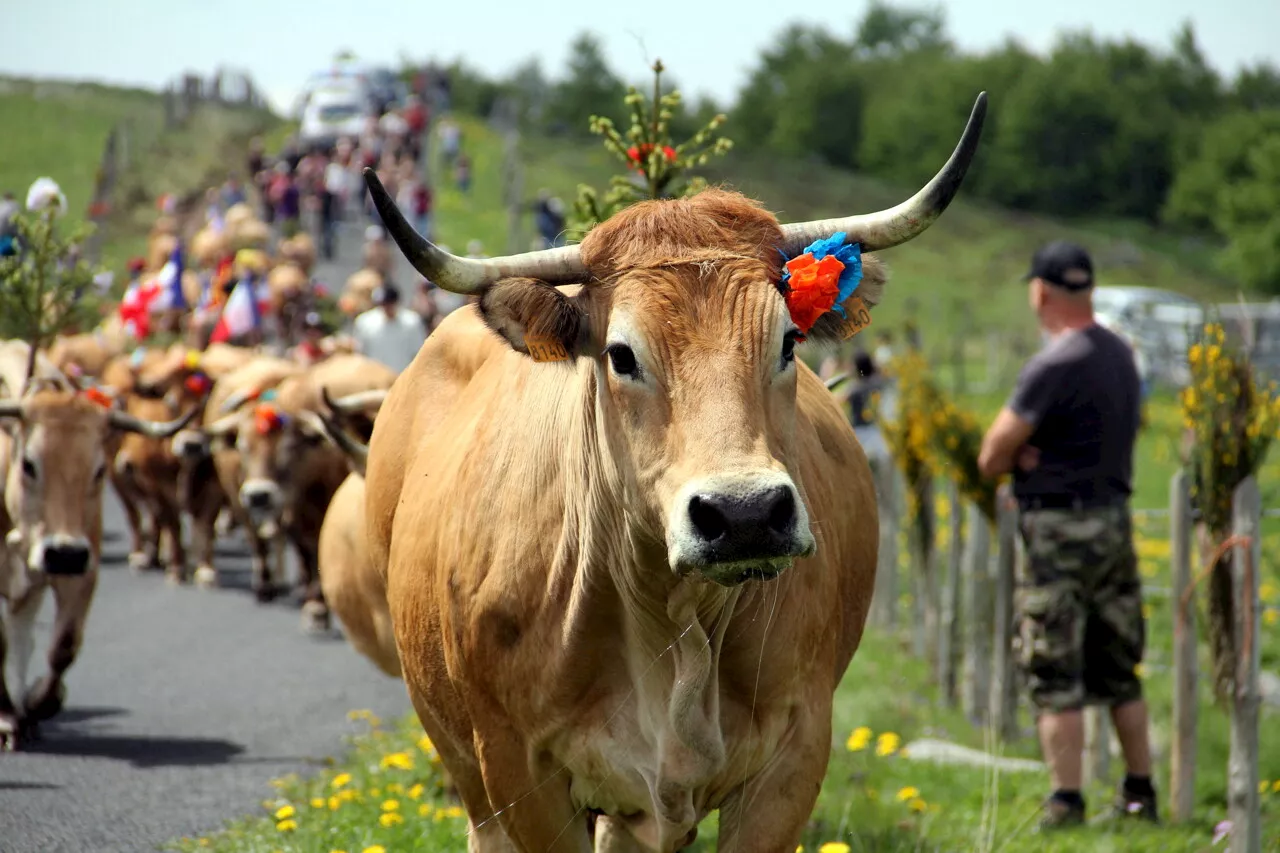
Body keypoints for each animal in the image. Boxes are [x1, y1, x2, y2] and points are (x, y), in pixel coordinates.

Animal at [0, 343, 202, 747]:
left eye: (98, 470)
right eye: (29, 464)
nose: (62, 554)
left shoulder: (82, 570)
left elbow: (63, 646)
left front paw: (40, 701)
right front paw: (7, 717)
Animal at [360, 96, 988, 845]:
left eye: (789, 340)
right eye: (621, 355)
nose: (744, 515)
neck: (674, 619)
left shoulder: (794, 760)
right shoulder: (519, 775)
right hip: (472, 778)